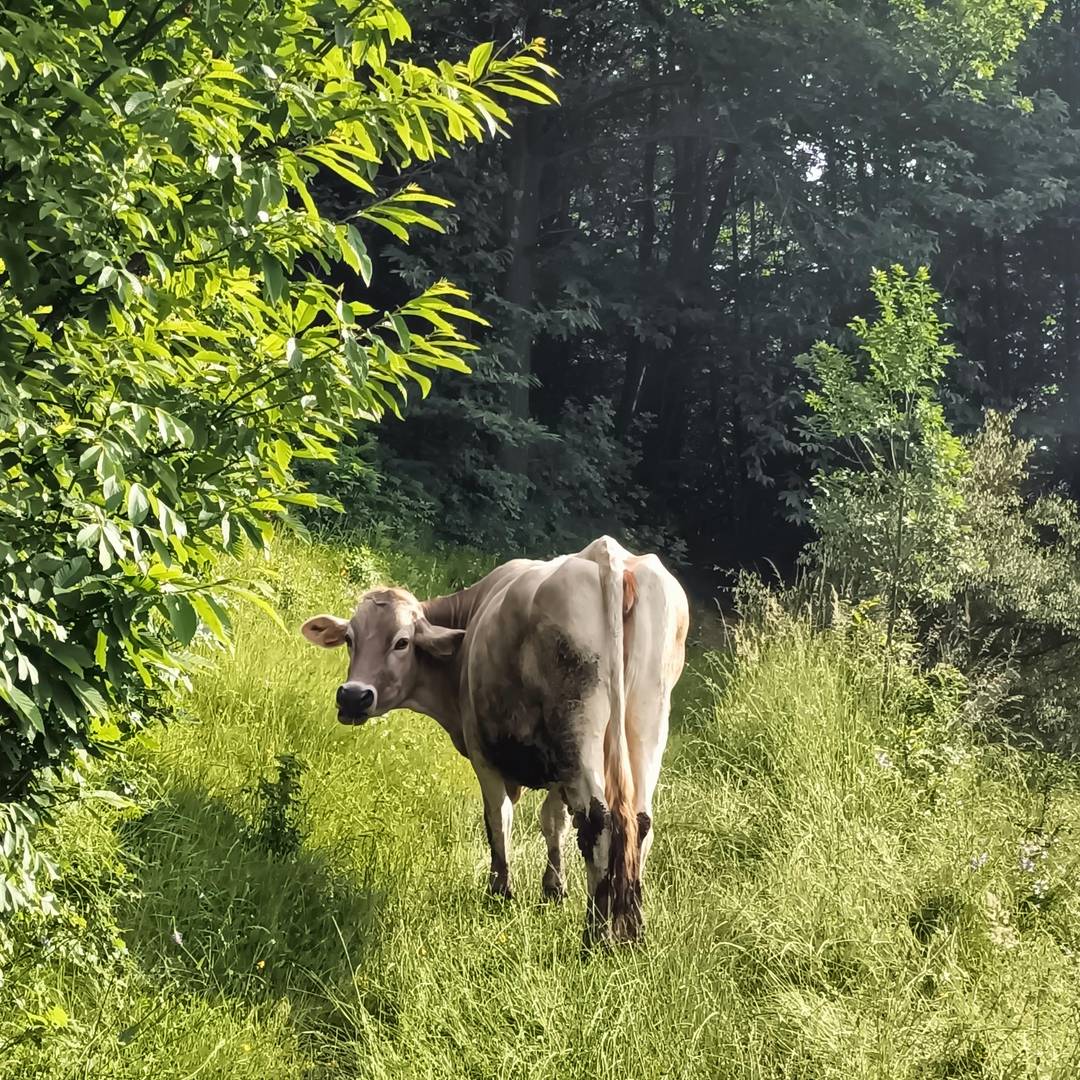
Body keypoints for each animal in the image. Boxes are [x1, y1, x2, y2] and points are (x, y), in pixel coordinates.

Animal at [302, 535, 691, 941]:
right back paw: (630, 929)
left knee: (598, 822)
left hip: (578, 725)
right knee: (637, 822)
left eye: (402, 642)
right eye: (349, 638)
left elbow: (498, 819)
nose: (352, 696)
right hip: (645, 722)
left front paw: (501, 892)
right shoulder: (557, 770)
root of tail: (608, 554)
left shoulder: (484, 754)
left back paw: (597, 934)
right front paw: (553, 889)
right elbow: (553, 821)